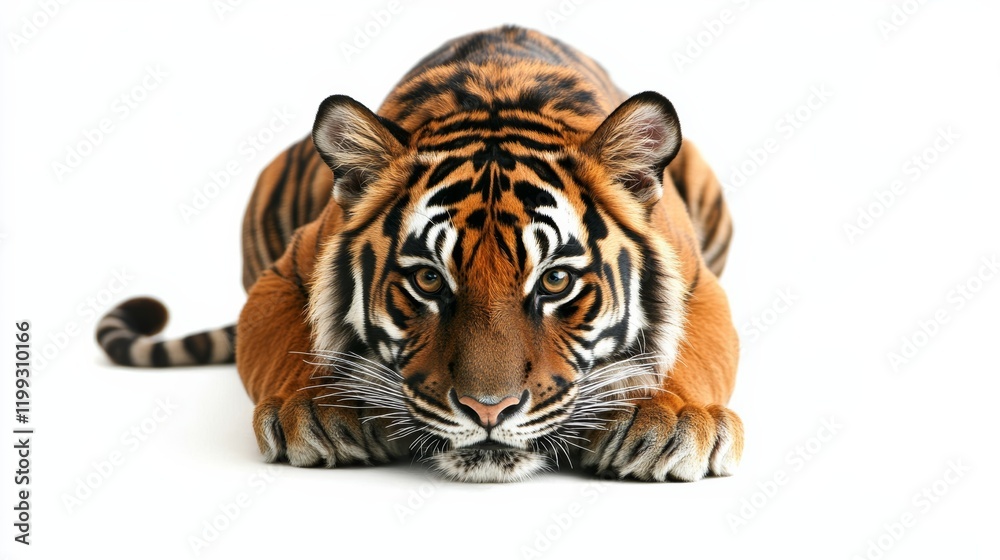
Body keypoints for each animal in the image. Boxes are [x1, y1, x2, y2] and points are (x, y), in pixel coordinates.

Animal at [97, 25, 743, 483]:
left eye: (556, 281)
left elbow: (693, 352)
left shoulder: (697, 280)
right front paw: (318, 411)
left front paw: (669, 420)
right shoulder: (284, 272)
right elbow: (287, 338)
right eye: (429, 281)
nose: (489, 410)